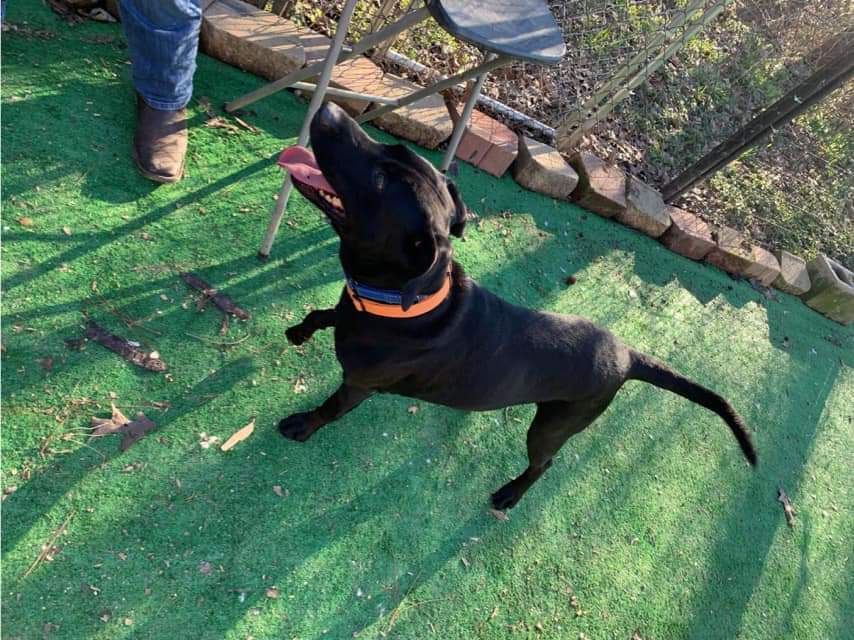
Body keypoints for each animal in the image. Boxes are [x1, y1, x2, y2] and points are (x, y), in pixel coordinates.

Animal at [278, 101, 760, 510]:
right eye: (391, 149)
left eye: (380, 182)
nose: (330, 109)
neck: (399, 303)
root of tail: (627, 354)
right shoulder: (349, 312)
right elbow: (322, 314)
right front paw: (300, 331)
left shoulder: (359, 384)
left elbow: (330, 408)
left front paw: (303, 425)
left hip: (553, 426)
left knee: (543, 463)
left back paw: (510, 494)